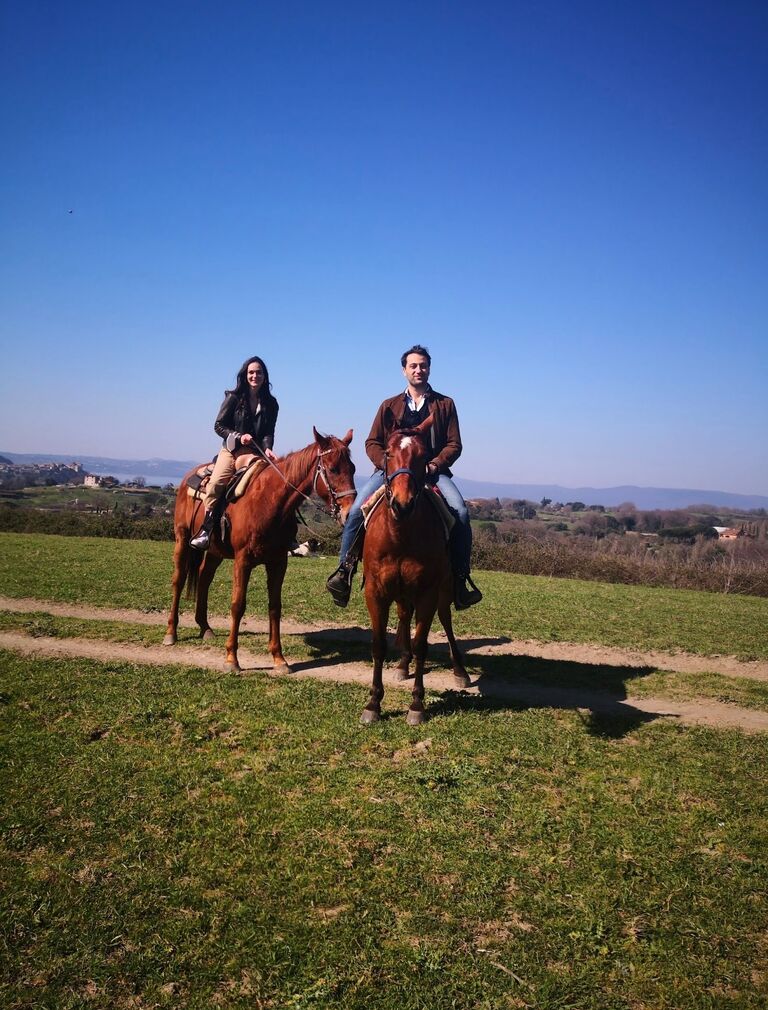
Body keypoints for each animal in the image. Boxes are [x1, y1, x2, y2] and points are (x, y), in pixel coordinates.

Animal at [163, 426, 355, 670]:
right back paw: (171, 632)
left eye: (353, 469)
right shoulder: (243, 561)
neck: (269, 501)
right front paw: (231, 658)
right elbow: (238, 605)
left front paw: (279, 658)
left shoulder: (278, 562)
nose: (348, 513)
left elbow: (275, 606)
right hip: (182, 539)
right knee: (178, 580)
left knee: (204, 576)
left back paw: (205, 627)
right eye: (332, 469)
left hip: (215, 550)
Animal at [359, 414, 468, 723]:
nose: (402, 503)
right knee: (404, 615)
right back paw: (402, 664)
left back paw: (460, 671)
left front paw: (417, 704)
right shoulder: (376, 591)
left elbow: (422, 644)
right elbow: (378, 644)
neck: (400, 534)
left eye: (424, 456)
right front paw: (373, 703)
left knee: (446, 620)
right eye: (387, 453)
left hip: (443, 590)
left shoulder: (427, 593)